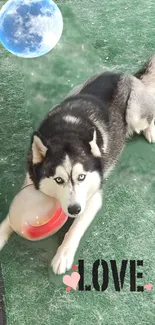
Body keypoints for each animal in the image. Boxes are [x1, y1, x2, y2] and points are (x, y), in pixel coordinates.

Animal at [0, 55, 155, 274]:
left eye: (82, 177)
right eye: (58, 179)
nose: (74, 210)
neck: (66, 132)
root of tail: (124, 74)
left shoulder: (93, 198)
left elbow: (75, 229)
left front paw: (63, 255)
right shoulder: (30, 180)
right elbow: (8, 219)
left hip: (136, 114)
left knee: (149, 116)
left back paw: (150, 131)